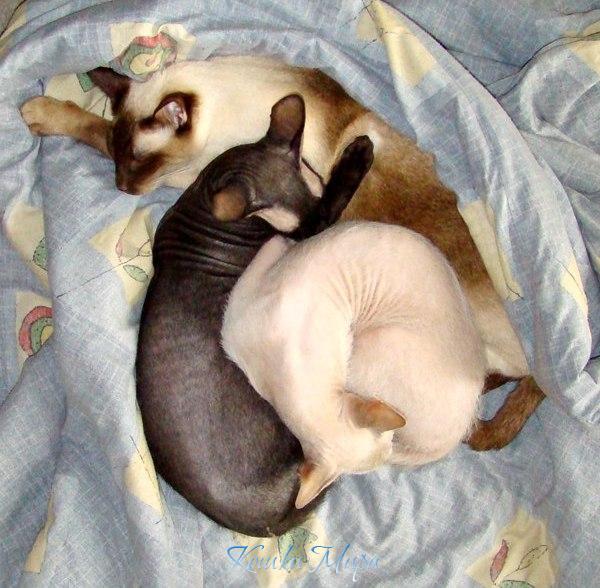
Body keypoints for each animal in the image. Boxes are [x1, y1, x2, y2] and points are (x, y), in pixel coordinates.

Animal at [20, 56, 544, 447]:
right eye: (119, 160)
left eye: (139, 163)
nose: (124, 189)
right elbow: (93, 125)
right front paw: (44, 109)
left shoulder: (201, 177)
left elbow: (91, 126)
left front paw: (37, 111)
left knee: (498, 381)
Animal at [136, 93, 374, 536]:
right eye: (299, 230)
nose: (296, 235)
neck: (205, 195)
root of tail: (266, 523)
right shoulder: (312, 226)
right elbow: (337, 196)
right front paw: (358, 155)